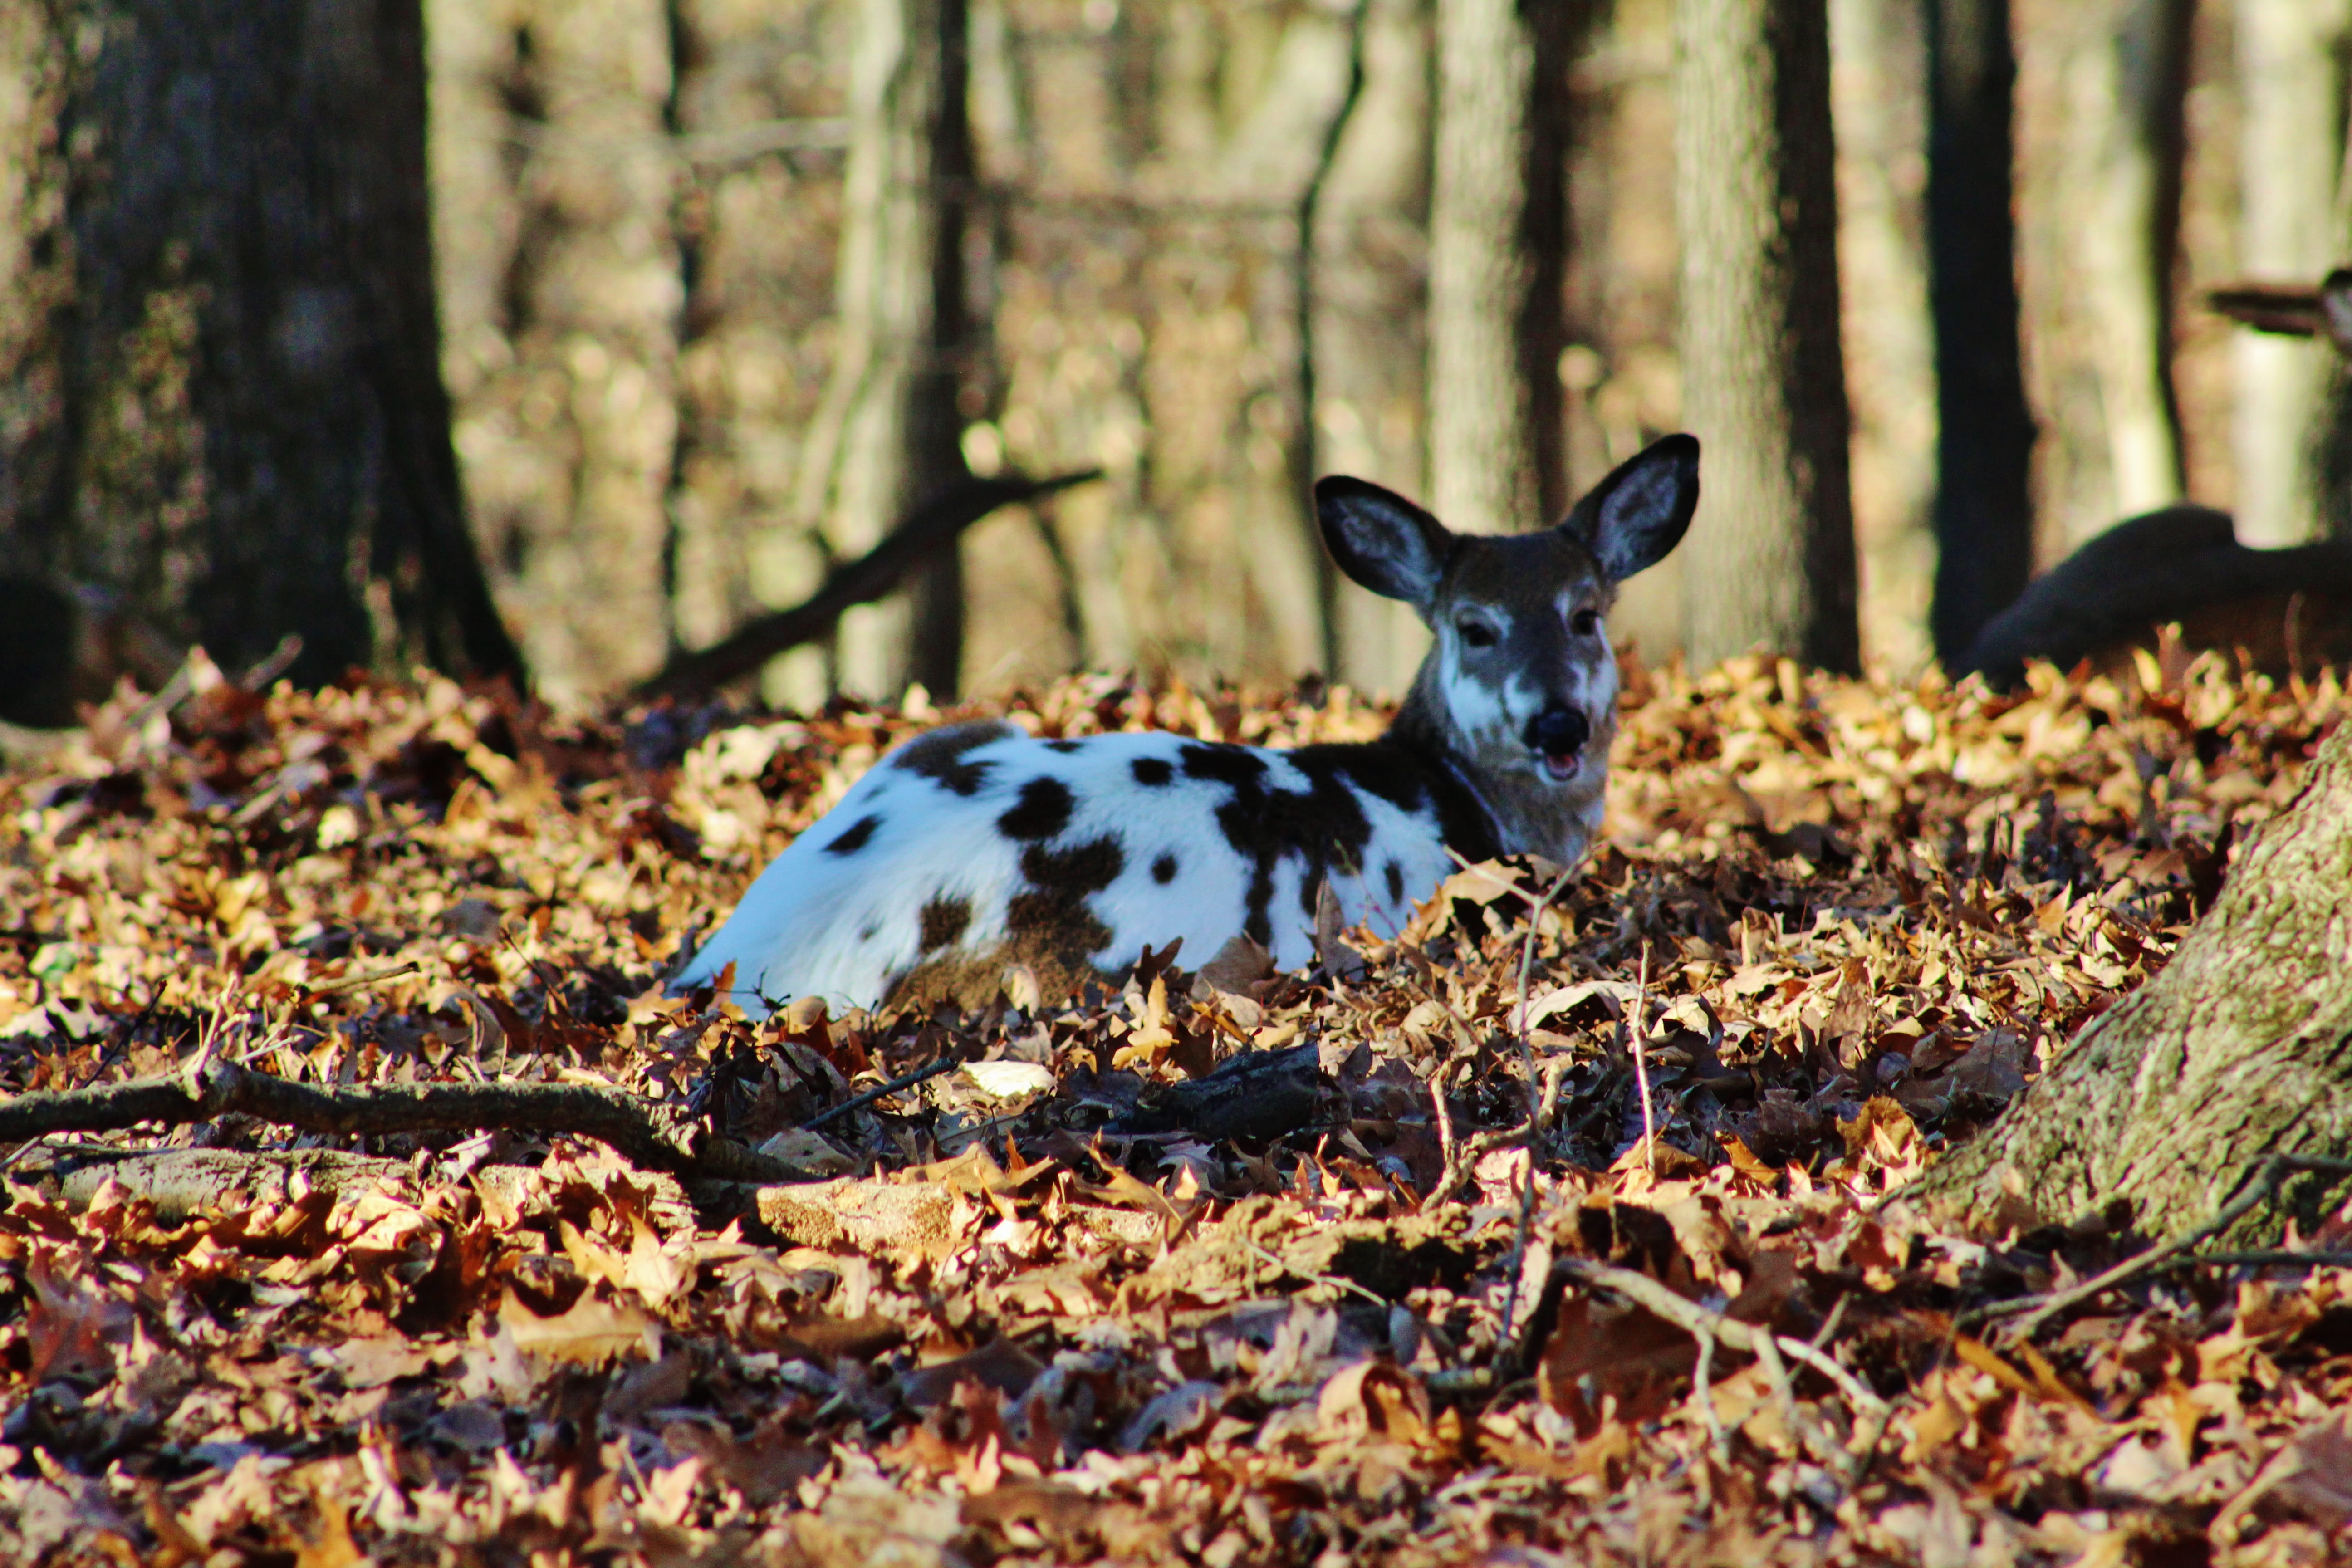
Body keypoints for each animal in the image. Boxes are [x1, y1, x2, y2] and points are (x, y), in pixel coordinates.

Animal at [673, 434, 1700, 1015]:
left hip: (941, 742)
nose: (1557, 722)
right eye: (1474, 626)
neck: (1459, 797)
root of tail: (743, 957)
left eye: (1585, 613)